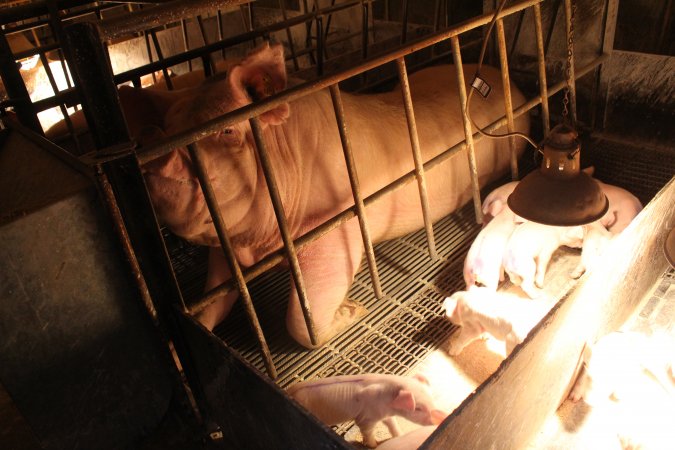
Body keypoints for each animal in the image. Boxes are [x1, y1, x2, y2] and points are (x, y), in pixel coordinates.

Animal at [123, 41, 532, 348]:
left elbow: (302, 320)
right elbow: (213, 299)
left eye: (227, 132)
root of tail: (513, 84)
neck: (259, 246)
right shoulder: (228, 247)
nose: (153, 164)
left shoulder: (336, 227)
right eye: (166, 131)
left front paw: (353, 311)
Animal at [286, 372, 448, 446]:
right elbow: (367, 432)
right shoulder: (366, 418)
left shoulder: (385, 415)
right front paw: (374, 445)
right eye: (418, 408)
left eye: (432, 398)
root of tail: (289, 393)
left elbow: (392, 424)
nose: (441, 418)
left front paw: (399, 435)